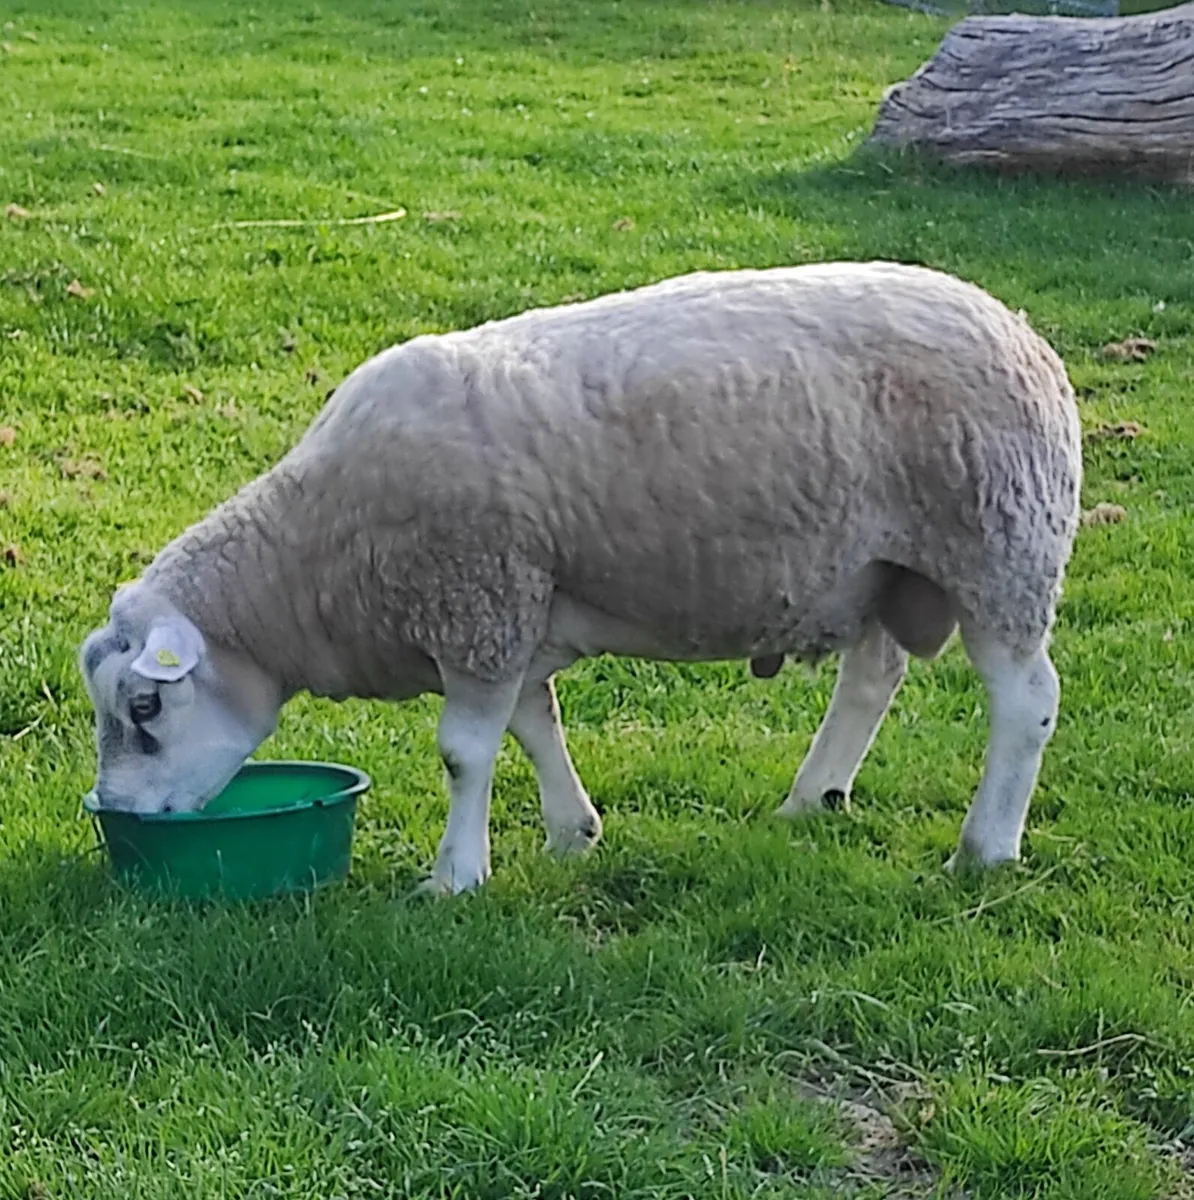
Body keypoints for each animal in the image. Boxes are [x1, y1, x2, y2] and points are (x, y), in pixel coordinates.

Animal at [79, 260, 1083, 894]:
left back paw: (986, 848)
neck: (313, 554)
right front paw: (572, 833)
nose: (115, 813)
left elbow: (464, 752)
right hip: (880, 564)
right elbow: (535, 727)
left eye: (145, 707)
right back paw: (812, 798)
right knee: (874, 675)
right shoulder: (513, 610)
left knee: (1027, 702)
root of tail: (1022, 331)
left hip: (1000, 545)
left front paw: (455, 876)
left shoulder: (478, 603)